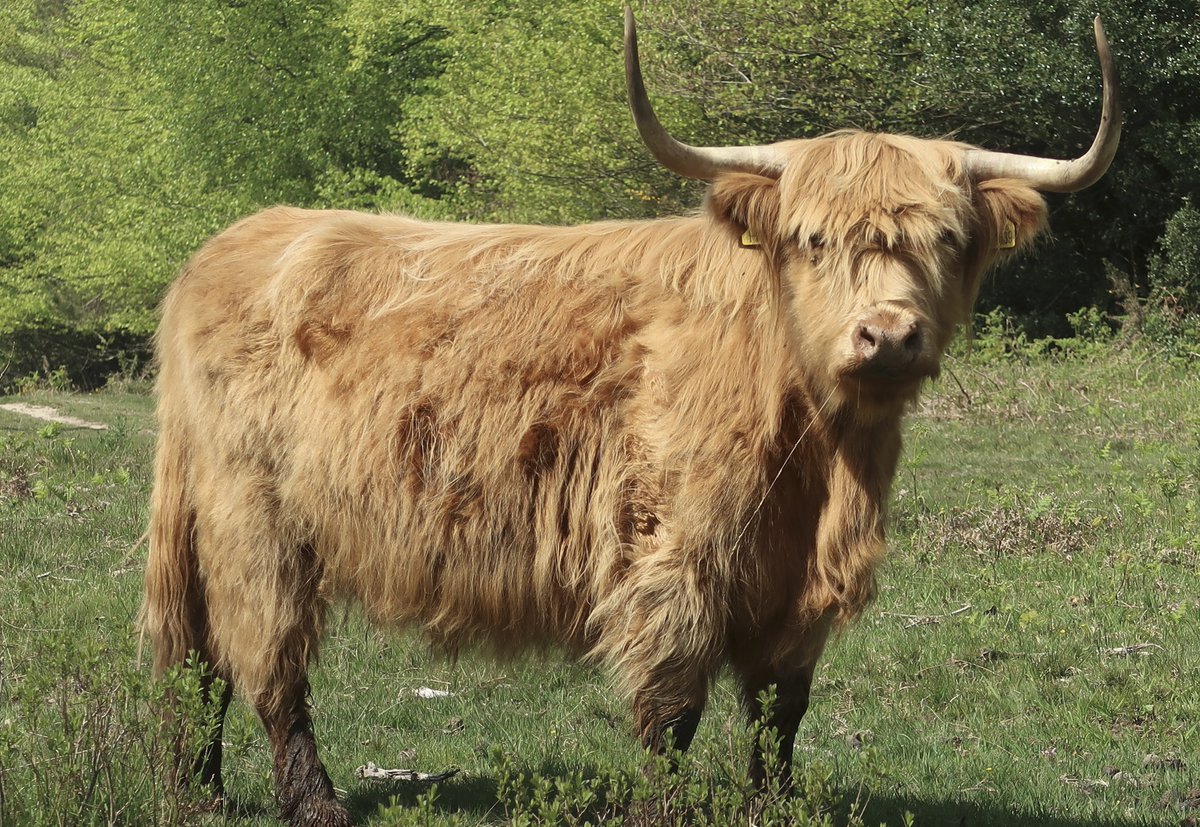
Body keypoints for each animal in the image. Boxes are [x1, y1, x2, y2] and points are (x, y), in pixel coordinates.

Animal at [142, 9, 1119, 826]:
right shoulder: (675, 553)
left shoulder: (792, 585)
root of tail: (226, 248)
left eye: (946, 240)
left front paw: (771, 805)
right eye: (812, 239)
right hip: (253, 519)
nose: (887, 334)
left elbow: (780, 709)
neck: (820, 454)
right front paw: (666, 807)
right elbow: (672, 707)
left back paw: (200, 790)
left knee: (200, 662)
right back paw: (313, 801)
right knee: (266, 663)